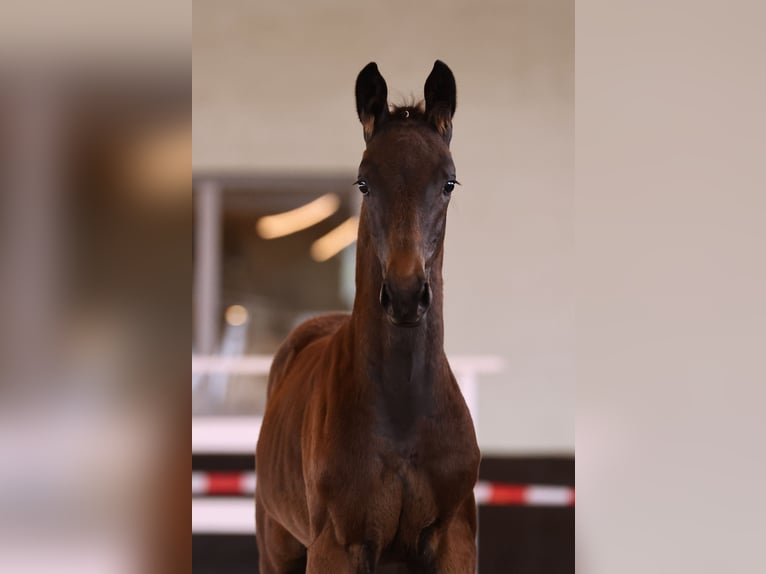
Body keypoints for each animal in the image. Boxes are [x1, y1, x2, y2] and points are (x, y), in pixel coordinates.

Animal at [255, 60, 480, 573]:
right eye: (364, 182)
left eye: (448, 182)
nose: (405, 295)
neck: (403, 412)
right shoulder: (337, 546)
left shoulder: (455, 542)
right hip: (277, 548)